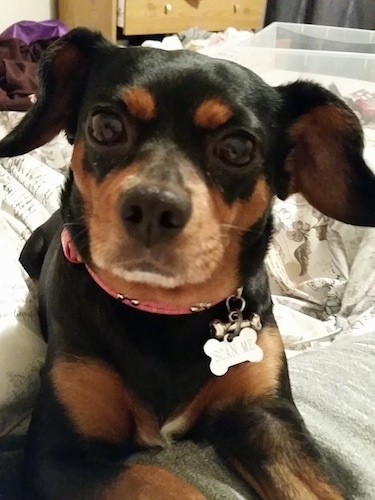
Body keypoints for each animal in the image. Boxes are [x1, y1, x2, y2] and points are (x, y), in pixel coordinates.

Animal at [1, 28, 374, 500]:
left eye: (237, 148)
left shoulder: (265, 415)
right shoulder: (55, 457)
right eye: (106, 126)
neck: (164, 311)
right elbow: (161, 479)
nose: (152, 207)